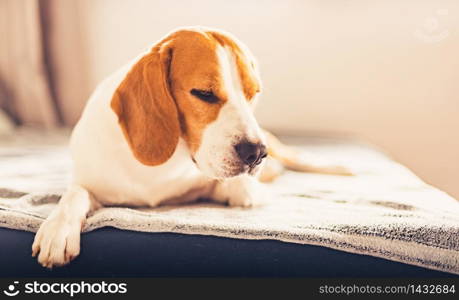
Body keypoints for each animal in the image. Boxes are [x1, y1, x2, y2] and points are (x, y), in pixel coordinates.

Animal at [31, 27, 348, 268]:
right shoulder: (89, 183)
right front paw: (58, 229)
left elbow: (235, 188)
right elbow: (74, 195)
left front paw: (241, 188)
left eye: (253, 94)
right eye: (204, 94)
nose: (257, 153)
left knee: (299, 158)